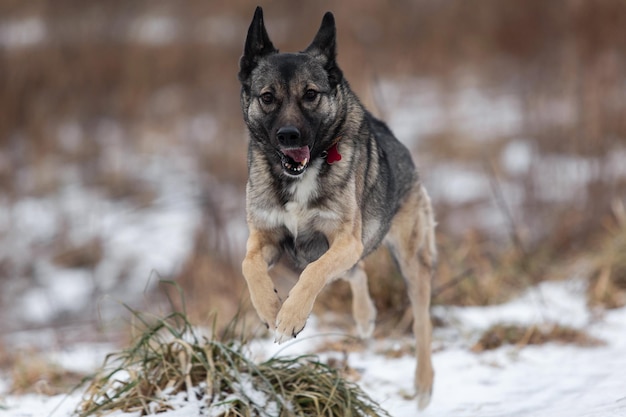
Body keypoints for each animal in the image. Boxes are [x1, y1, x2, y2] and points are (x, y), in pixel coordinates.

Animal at [236, 7, 436, 410]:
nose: (289, 136)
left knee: (422, 319)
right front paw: (270, 309)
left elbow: (314, 273)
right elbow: (249, 266)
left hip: (409, 258)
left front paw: (289, 318)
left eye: (310, 95)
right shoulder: (267, 239)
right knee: (354, 274)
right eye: (268, 97)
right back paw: (364, 318)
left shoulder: (344, 241)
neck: (302, 172)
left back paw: (423, 383)